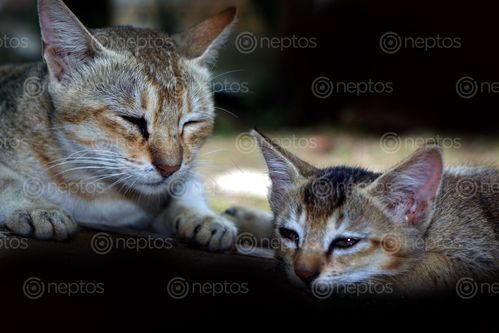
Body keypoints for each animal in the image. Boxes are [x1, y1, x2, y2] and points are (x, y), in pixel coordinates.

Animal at [0, 0, 239, 249]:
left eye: (191, 123)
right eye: (132, 120)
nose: (169, 168)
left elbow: (188, 183)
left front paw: (202, 215)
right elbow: (8, 180)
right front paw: (36, 206)